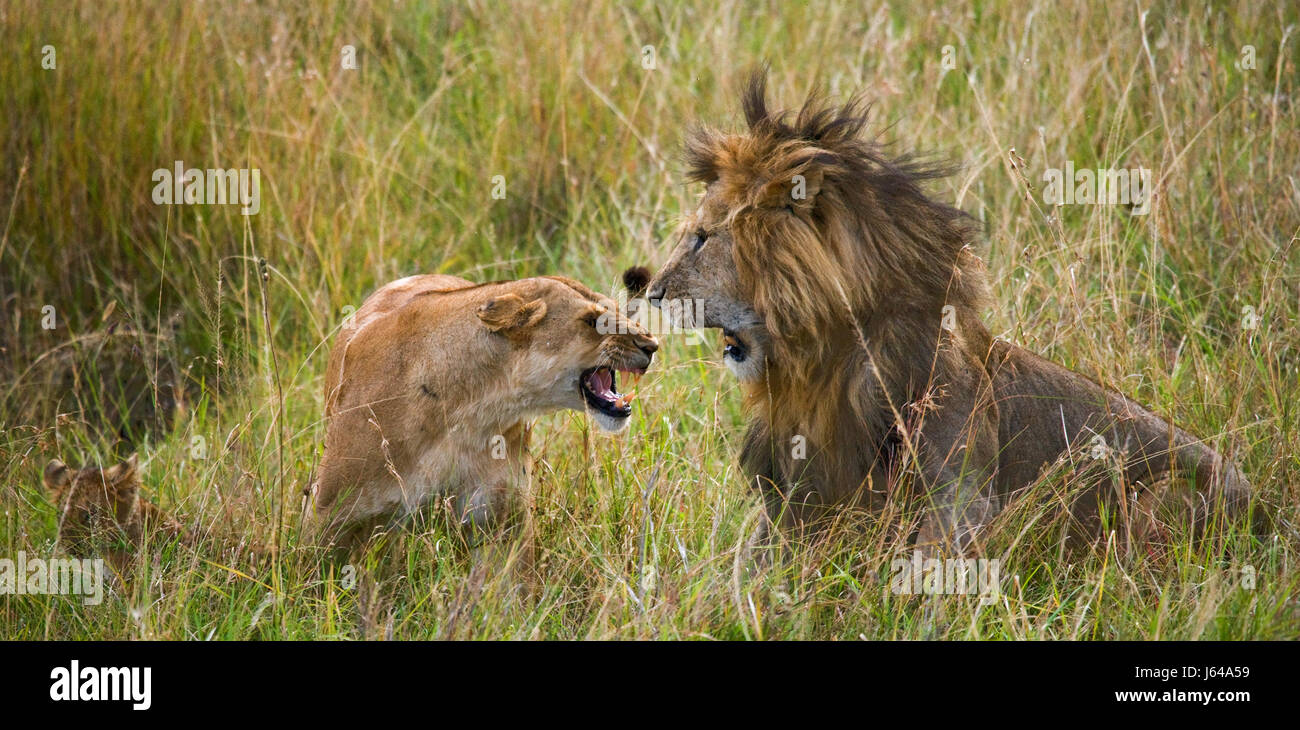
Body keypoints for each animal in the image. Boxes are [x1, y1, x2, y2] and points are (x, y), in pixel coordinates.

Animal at [643, 72, 1251, 553]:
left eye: (701, 238)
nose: (649, 292)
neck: (823, 363)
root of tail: (1263, 505)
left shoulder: (960, 495)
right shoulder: (795, 489)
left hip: (1163, 496)